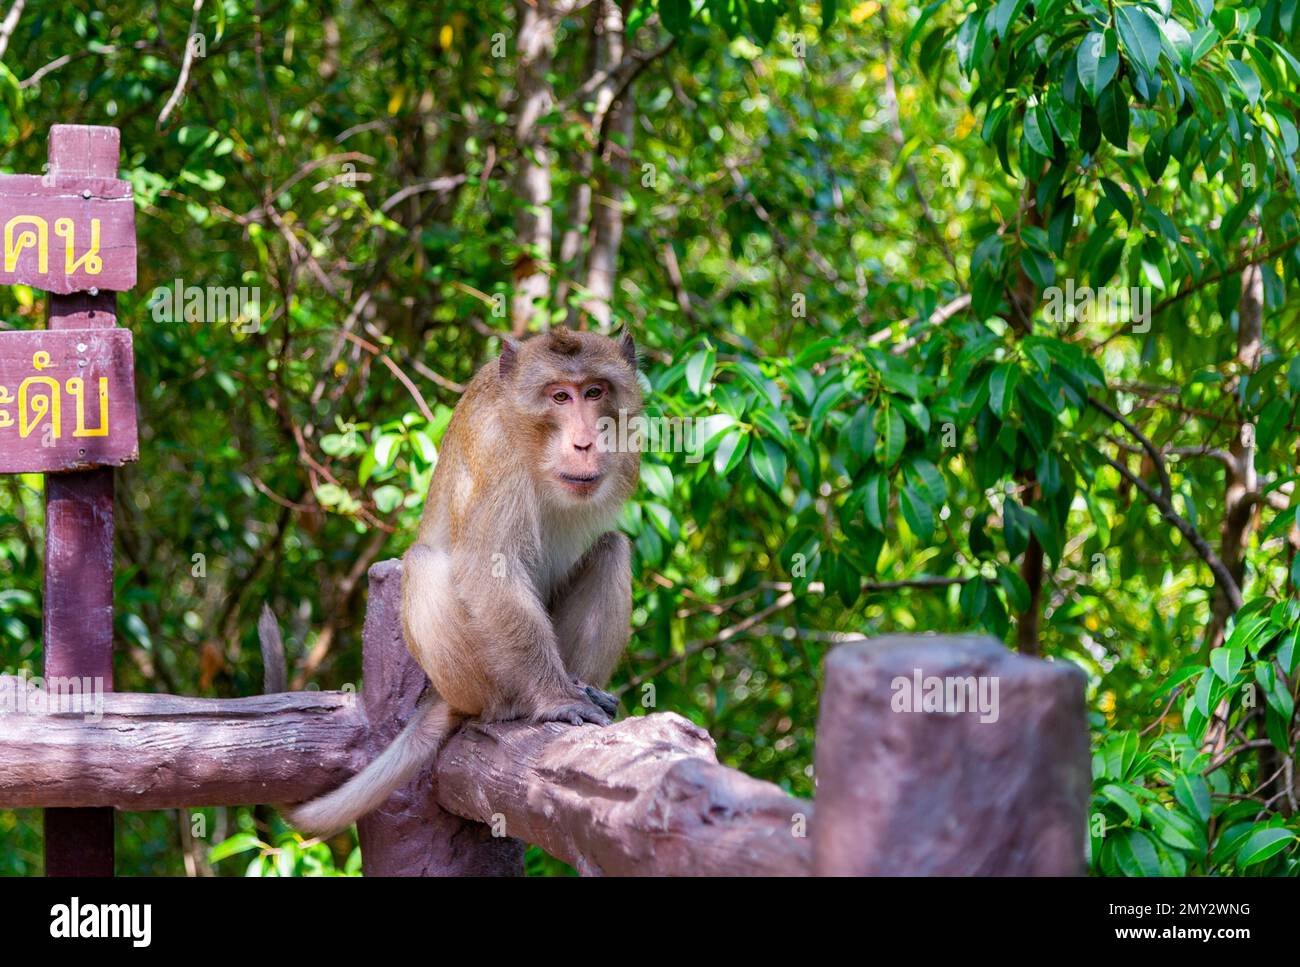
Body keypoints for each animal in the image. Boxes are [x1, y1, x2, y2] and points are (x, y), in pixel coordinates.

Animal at [286, 328, 642, 836]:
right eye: (559, 396)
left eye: (594, 392)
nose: (585, 443)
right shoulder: (495, 451)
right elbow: (488, 571)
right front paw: (555, 699)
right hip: (471, 681)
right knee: (423, 564)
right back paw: (511, 706)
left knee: (613, 549)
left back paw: (582, 685)